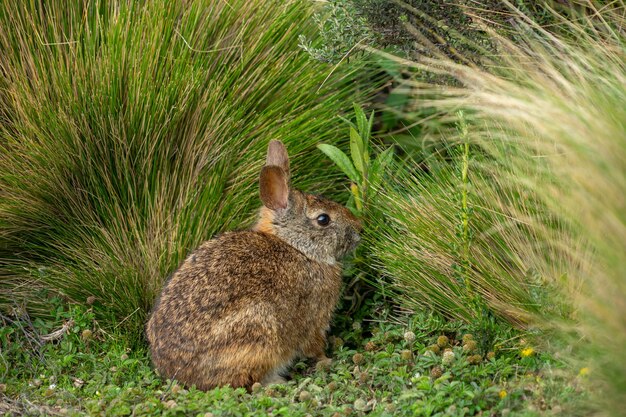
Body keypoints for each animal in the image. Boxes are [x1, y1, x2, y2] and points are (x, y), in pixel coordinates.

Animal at [146, 140, 360, 390]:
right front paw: (327, 359)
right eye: (323, 219)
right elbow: (313, 345)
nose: (359, 229)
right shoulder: (314, 318)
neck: (297, 247)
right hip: (257, 331)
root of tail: (179, 374)